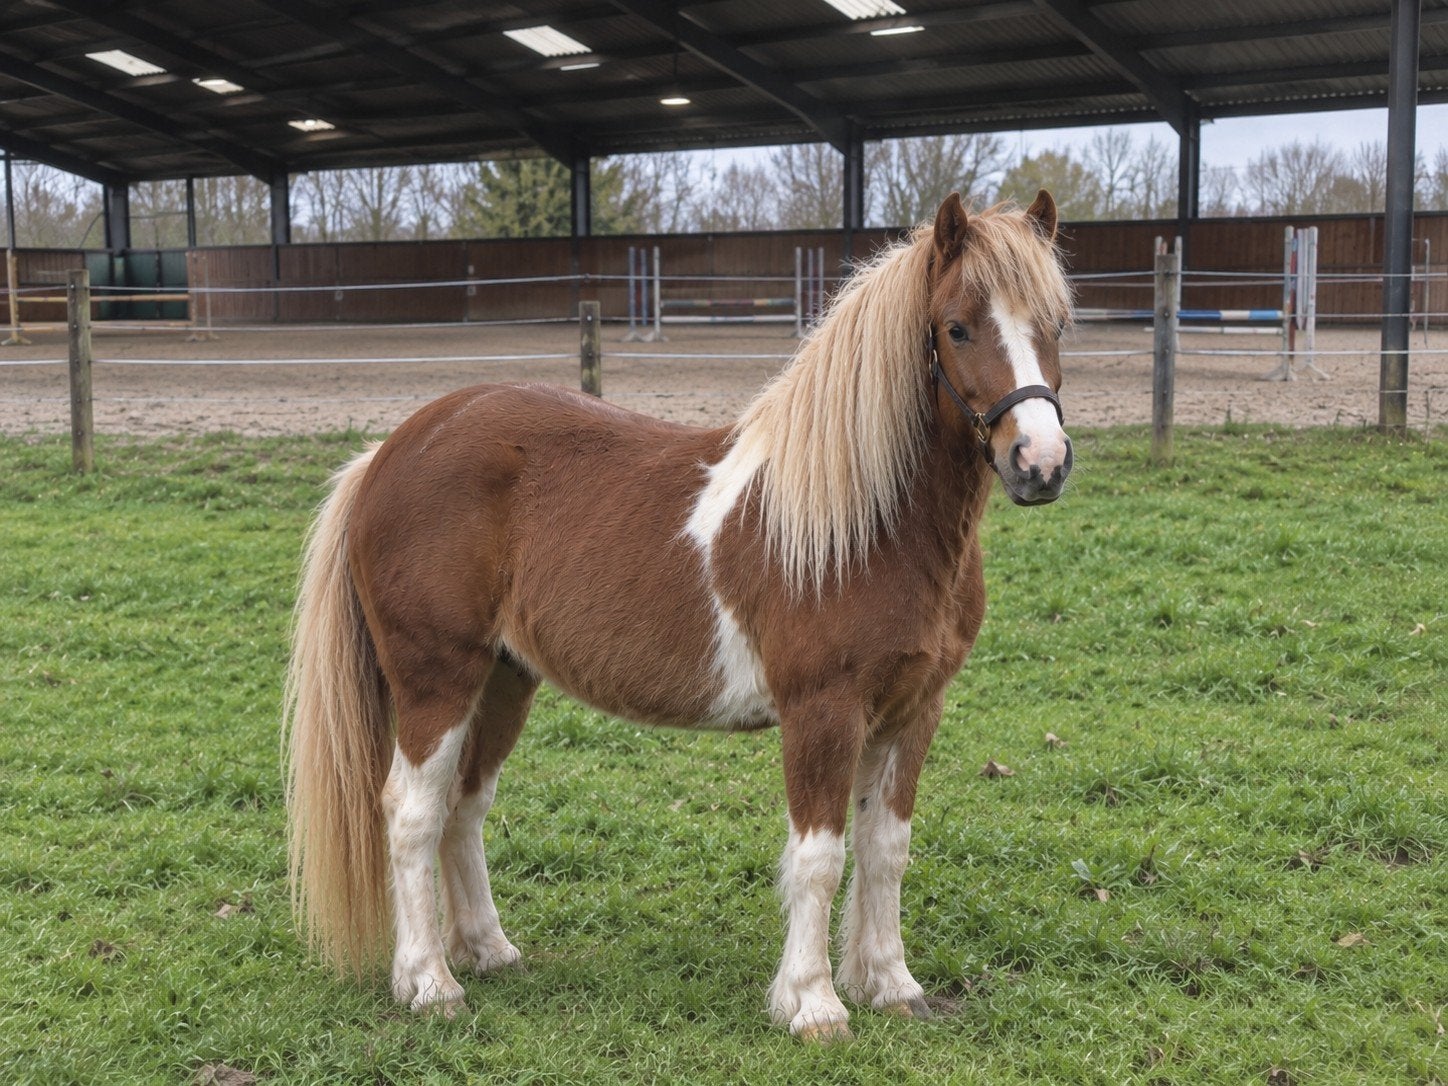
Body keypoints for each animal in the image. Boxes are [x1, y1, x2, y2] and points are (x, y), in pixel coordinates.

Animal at [283, 190, 1074, 1041]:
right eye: (957, 327)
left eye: (1058, 324)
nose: (1040, 463)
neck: (866, 522)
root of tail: (389, 453)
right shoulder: (823, 711)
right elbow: (820, 856)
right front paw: (814, 1004)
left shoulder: (913, 709)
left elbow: (885, 847)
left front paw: (890, 984)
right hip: (438, 680)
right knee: (411, 813)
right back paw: (429, 983)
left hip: (504, 680)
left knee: (465, 807)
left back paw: (488, 951)